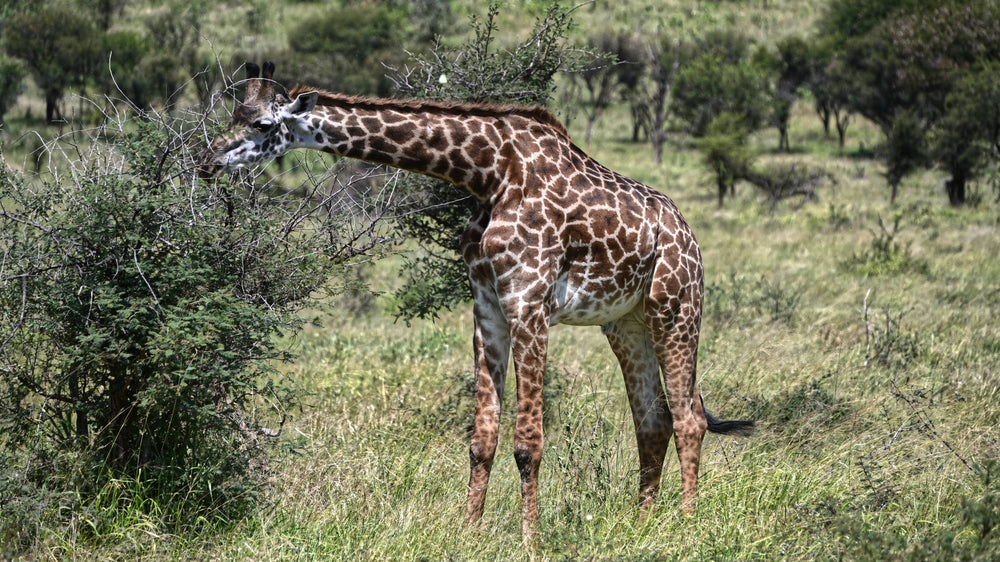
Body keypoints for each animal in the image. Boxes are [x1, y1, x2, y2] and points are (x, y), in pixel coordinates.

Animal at [202, 62, 754, 540]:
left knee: (688, 419)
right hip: (626, 323)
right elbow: (481, 438)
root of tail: (687, 233)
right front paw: (469, 533)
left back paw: (685, 525)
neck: (488, 172)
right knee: (652, 422)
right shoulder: (486, 305)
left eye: (263, 123)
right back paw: (642, 525)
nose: (207, 162)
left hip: (676, 307)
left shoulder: (529, 303)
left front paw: (531, 541)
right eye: (233, 115)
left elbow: (528, 442)